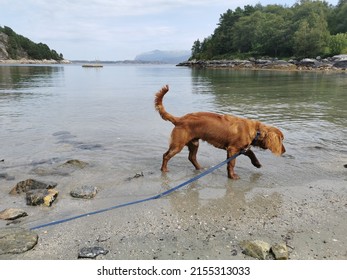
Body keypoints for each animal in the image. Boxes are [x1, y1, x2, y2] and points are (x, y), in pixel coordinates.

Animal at [155, 85, 286, 179]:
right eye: (281, 140)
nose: (284, 151)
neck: (255, 131)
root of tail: (179, 119)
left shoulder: (242, 148)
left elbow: (251, 153)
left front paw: (257, 163)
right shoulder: (233, 149)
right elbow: (231, 164)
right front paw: (232, 176)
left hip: (194, 143)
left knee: (191, 157)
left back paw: (200, 169)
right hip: (178, 144)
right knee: (166, 155)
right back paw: (164, 169)